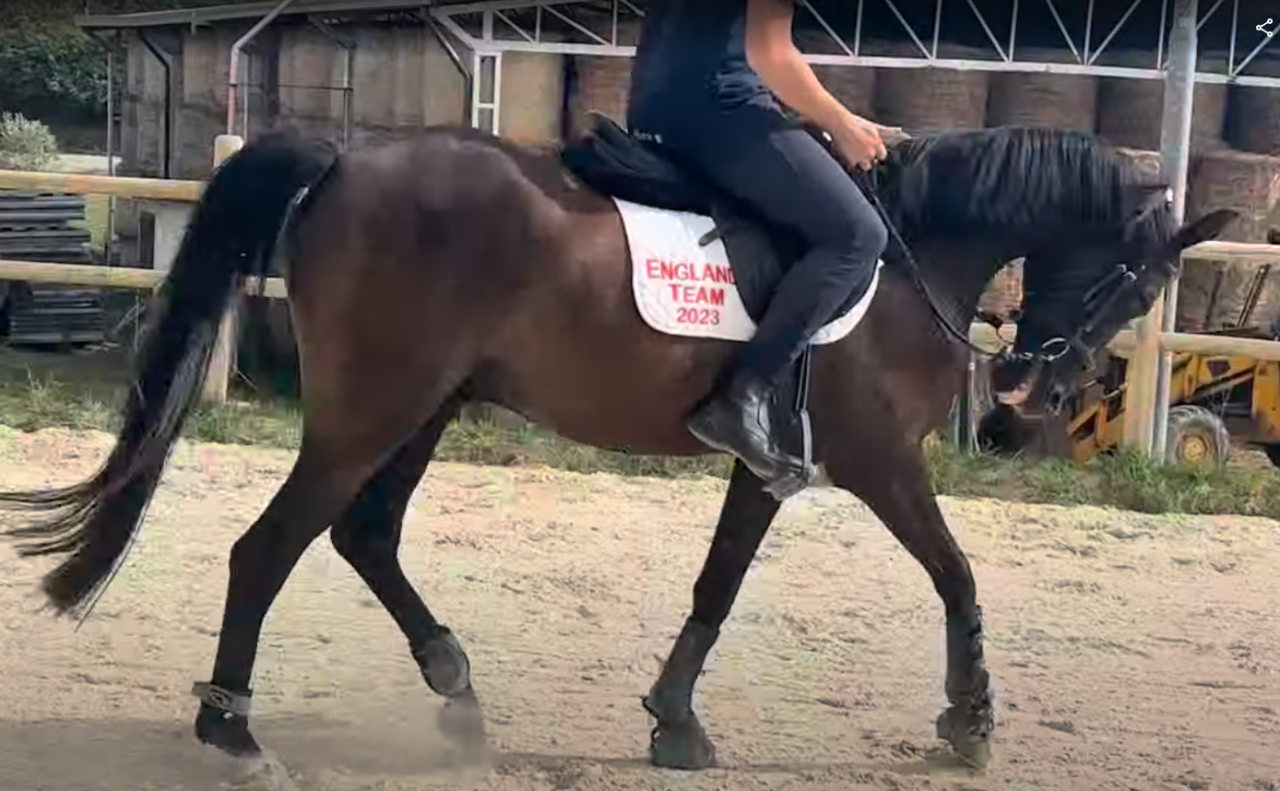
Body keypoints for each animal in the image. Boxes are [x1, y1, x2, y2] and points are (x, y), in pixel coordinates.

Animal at [0, 117, 1235, 780]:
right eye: (1137, 282)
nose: (1033, 405)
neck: (905, 254)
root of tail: (348, 158)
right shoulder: (878, 460)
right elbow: (956, 571)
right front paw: (969, 720)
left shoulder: (767, 463)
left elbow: (719, 581)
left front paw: (675, 720)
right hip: (372, 411)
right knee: (270, 547)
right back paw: (230, 727)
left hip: (425, 405)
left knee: (364, 535)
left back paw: (455, 690)